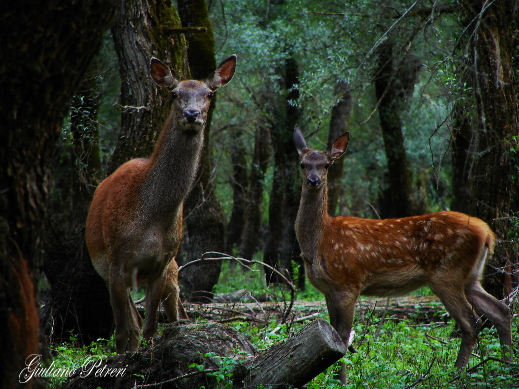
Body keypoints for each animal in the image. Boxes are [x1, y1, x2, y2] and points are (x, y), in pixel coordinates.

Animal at [86, 55, 238, 354]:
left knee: (177, 315)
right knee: (131, 321)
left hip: (173, 273)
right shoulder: (116, 262)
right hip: (109, 270)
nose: (192, 114)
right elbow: (123, 331)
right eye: (174, 93)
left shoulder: (162, 262)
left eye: (209, 93)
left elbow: (151, 328)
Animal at [294, 126, 512, 382]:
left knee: (471, 322)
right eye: (302, 164)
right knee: (501, 311)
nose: (313, 180)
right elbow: (335, 335)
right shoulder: (328, 290)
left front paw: (341, 381)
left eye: (326, 165)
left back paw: (456, 373)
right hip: (470, 276)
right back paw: (507, 367)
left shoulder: (348, 283)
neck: (321, 243)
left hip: (446, 273)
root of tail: (487, 232)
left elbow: (343, 336)